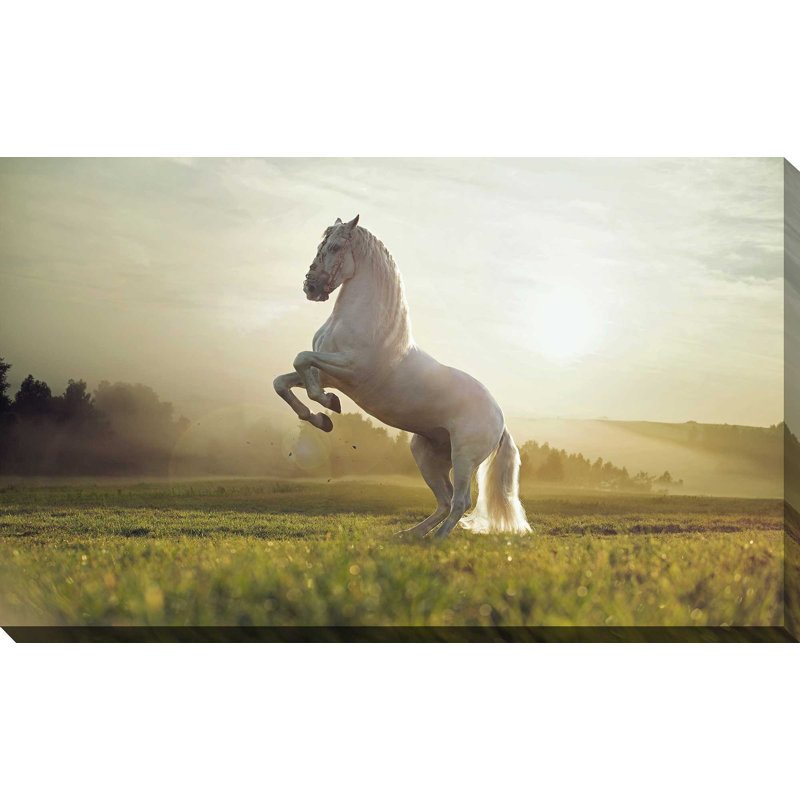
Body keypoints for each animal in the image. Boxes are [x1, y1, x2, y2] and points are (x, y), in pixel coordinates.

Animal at [273, 215, 531, 538]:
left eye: (334, 247)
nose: (311, 287)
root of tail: (500, 419)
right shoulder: (328, 374)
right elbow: (283, 381)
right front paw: (321, 418)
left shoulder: (349, 368)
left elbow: (301, 360)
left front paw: (328, 405)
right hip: (426, 454)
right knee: (444, 500)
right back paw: (409, 535)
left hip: (463, 457)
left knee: (460, 501)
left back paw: (437, 541)